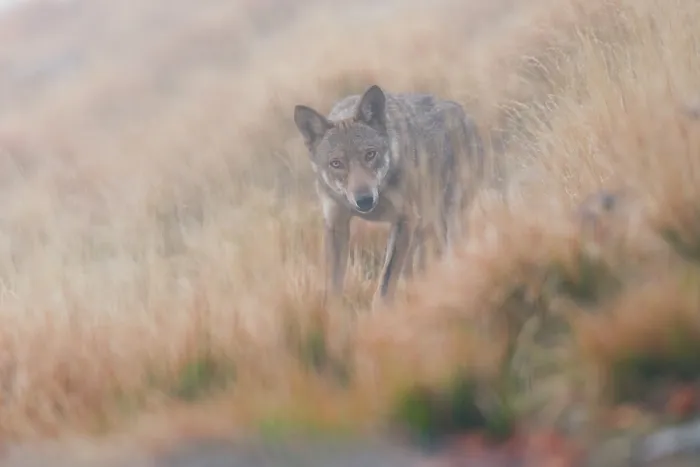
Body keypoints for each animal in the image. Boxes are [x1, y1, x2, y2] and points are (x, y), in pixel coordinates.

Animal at [294, 85, 484, 308]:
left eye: (370, 154)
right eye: (336, 163)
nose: (364, 200)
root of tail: (467, 117)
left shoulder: (405, 219)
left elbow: (385, 283)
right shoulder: (336, 224)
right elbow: (333, 286)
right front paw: (331, 313)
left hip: (444, 223)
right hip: (421, 228)